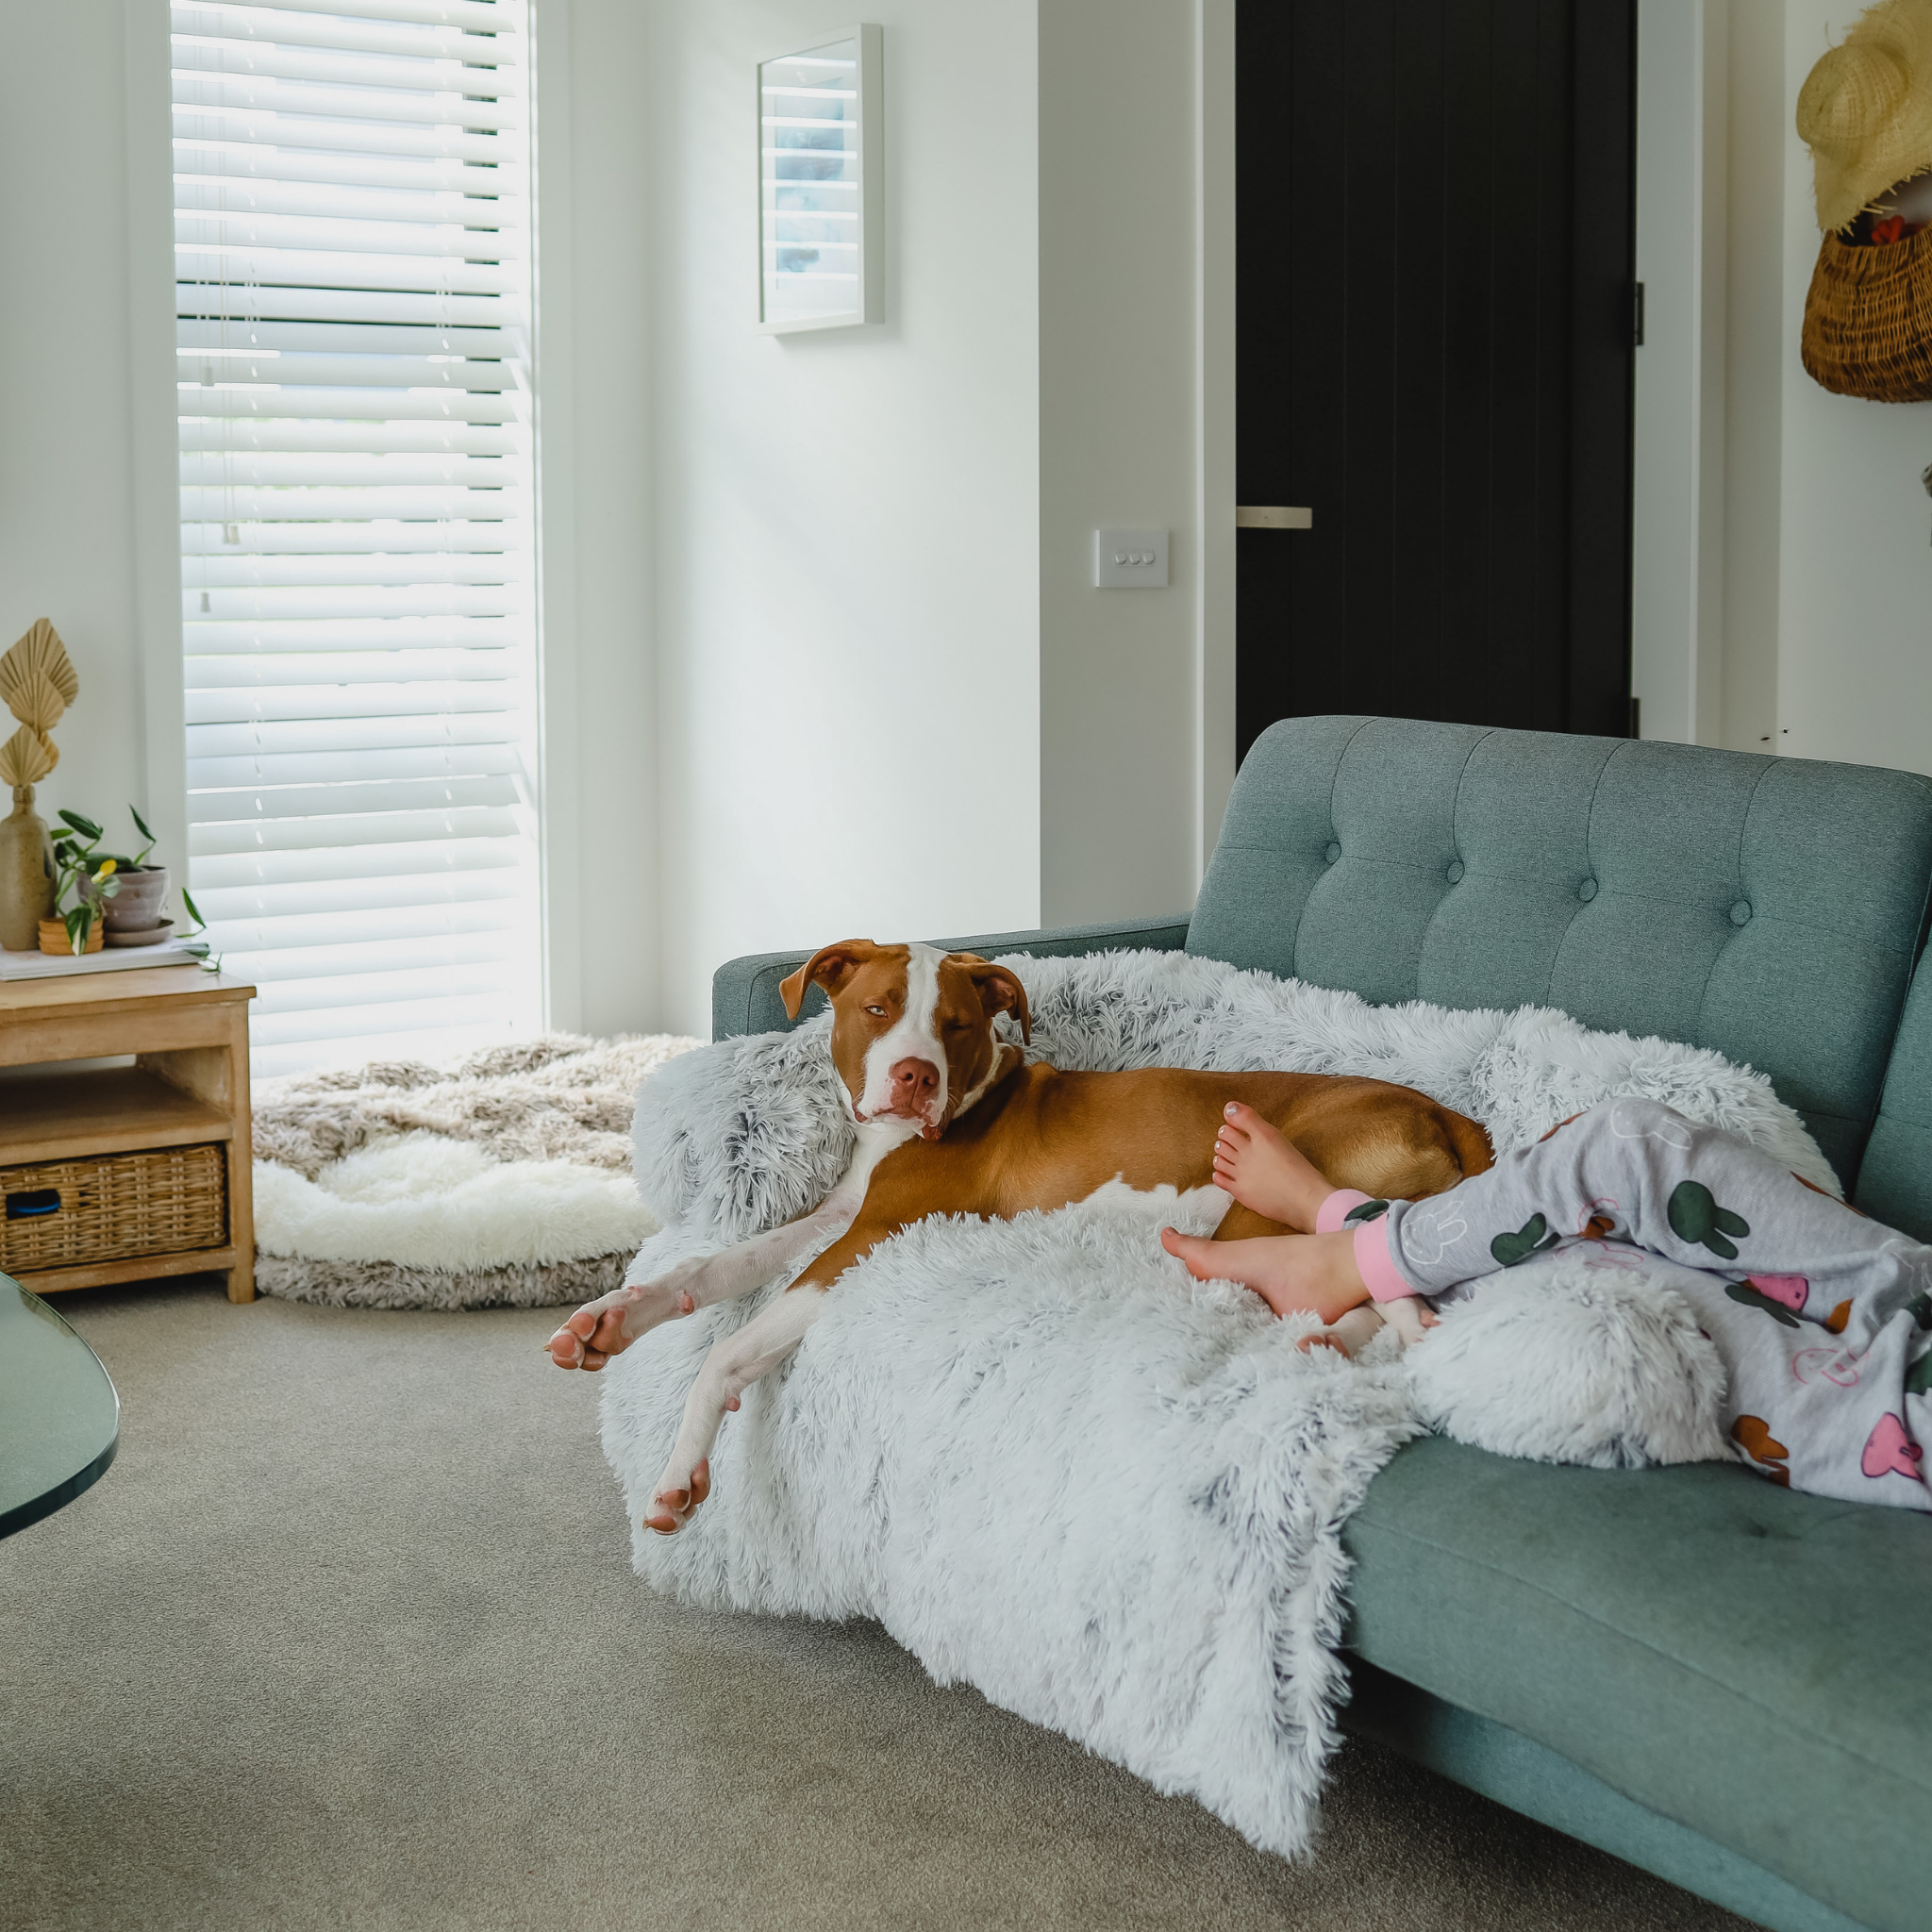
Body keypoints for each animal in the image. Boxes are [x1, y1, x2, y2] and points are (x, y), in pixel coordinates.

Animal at [544, 942, 1491, 1530]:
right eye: (879, 1008)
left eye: (957, 1024)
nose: (914, 1077)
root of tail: (1445, 1112)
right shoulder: (838, 1217)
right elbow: (717, 1265)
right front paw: (612, 1318)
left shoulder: (870, 1234)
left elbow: (729, 1351)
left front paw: (681, 1473)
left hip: (1265, 1194)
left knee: (1345, 1272)